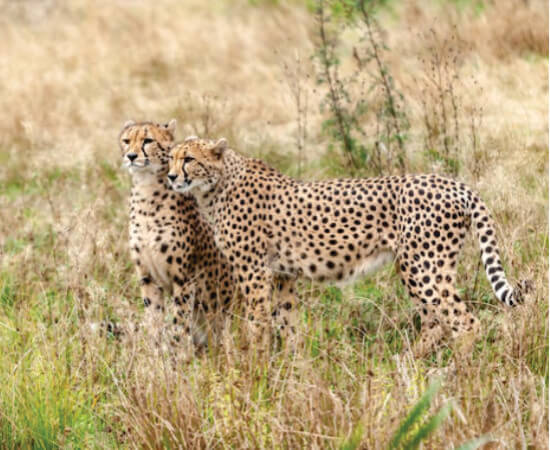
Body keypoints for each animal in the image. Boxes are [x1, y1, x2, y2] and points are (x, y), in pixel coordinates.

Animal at [117, 121, 236, 354]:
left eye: (148, 140)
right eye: (126, 140)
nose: (131, 156)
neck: (147, 189)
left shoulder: (184, 278)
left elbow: (180, 320)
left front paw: (179, 354)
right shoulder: (147, 276)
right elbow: (154, 316)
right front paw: (155, 353)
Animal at [167, 137, 528, 356]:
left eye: (189, 159)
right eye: (170, 158)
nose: (170, 177)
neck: (216, 184)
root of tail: (454, 183)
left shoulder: (255, 273)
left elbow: (258, 322)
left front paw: (254, 366)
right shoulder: (283, 275)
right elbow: (288, 321)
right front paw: (293, 370)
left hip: (422, 265)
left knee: (464, 321)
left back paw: (457, 372)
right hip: (420, 267)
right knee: (435, 322)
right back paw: (408, 365)